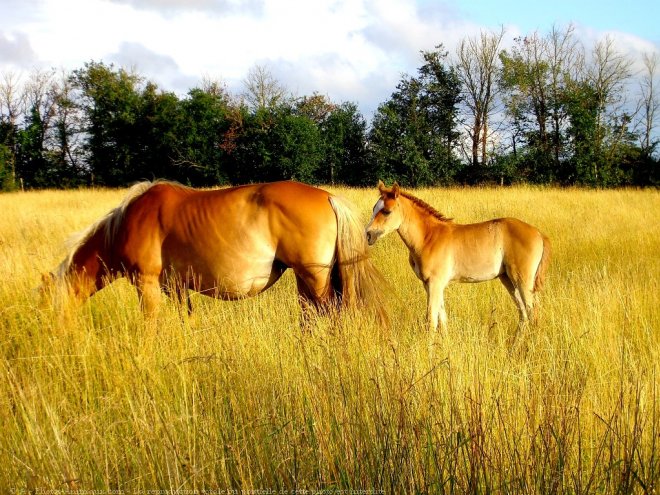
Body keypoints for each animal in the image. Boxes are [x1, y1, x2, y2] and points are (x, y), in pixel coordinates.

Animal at [42, 180, 386, 324]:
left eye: (55, 307)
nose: (57, 336)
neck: (128, 222)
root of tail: (327, 196)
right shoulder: (176, 288)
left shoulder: (147, 284)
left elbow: (149, 325)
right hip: (305, 279)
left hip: (314, 277)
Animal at [364, 182, 548, 334]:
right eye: (373, 208)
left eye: (386, 211)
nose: (368, 234)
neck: (428, 237)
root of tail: (538, 233)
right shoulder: (430, 284)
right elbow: (442, 320)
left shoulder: (435, 283)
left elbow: (431, 321)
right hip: (508, 279)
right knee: (524, 314)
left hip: (522, 280)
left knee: (533, 313)